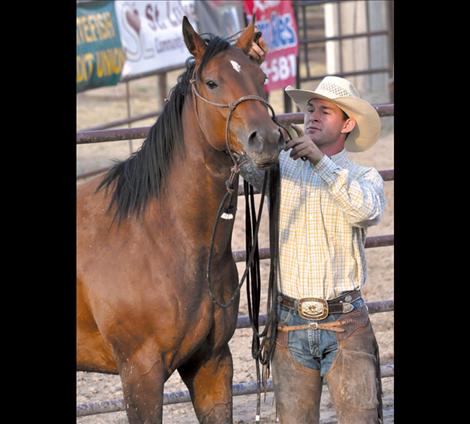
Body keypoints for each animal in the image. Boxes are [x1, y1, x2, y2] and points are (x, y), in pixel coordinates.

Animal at [76, 17, 282, 424]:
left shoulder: (211, 363)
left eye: (261, 76)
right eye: (212, 82)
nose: (265, 139)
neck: (160, 235)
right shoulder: (140, 373)